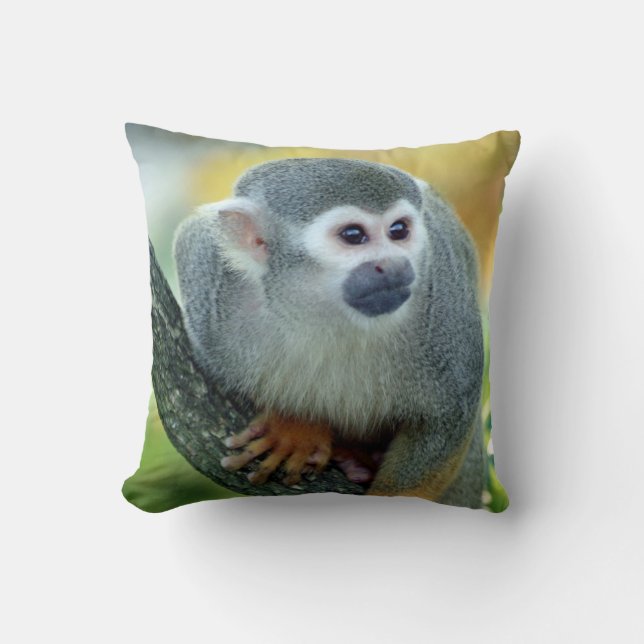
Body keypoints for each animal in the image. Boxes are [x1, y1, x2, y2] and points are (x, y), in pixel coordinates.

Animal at [173, 158, 486, 508]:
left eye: (399, 231)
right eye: (353, 235)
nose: (395, 265)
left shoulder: (444, 293)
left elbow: (448, 420)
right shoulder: (210, 289)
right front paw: (295, 427)